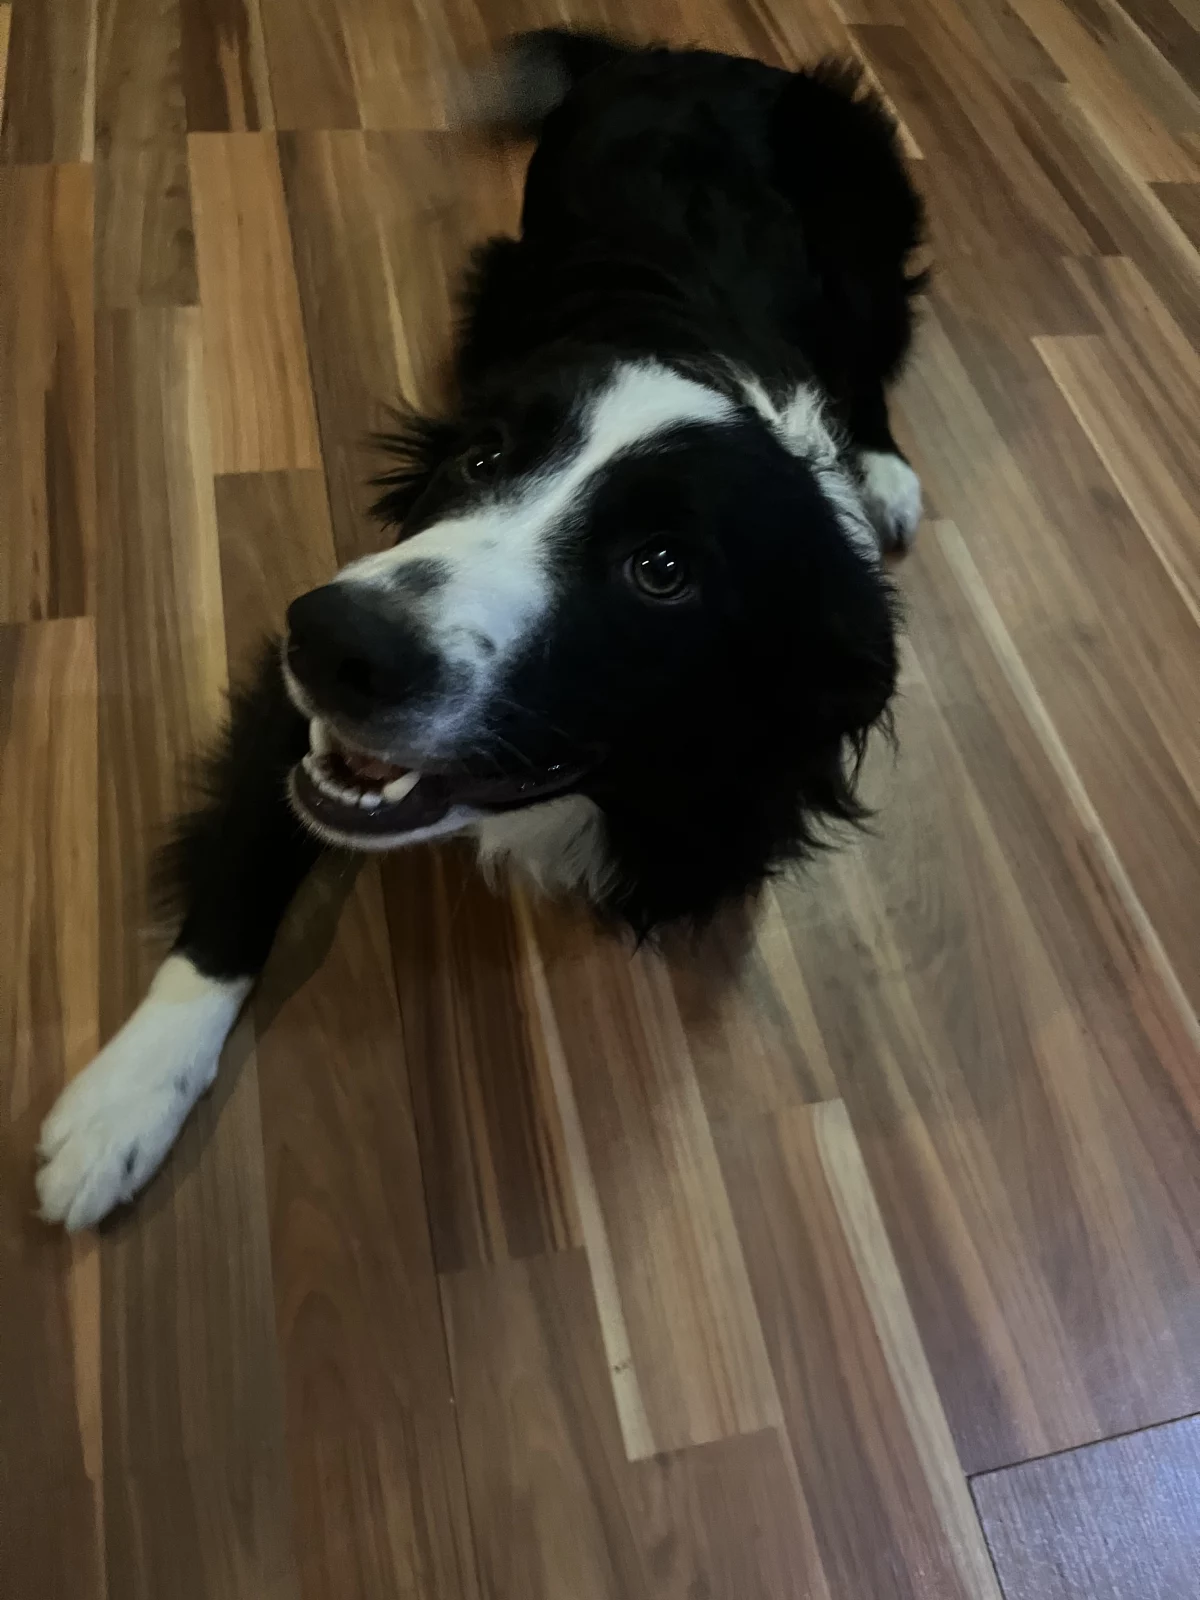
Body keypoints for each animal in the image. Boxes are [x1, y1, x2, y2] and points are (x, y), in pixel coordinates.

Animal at [37, 31, 925, 1228]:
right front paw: (122, 1105)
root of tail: (678, 49)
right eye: (482, 458)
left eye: (662, 570)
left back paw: (884, 468)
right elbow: (241, 868)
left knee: (872, 352)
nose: (332, 639)